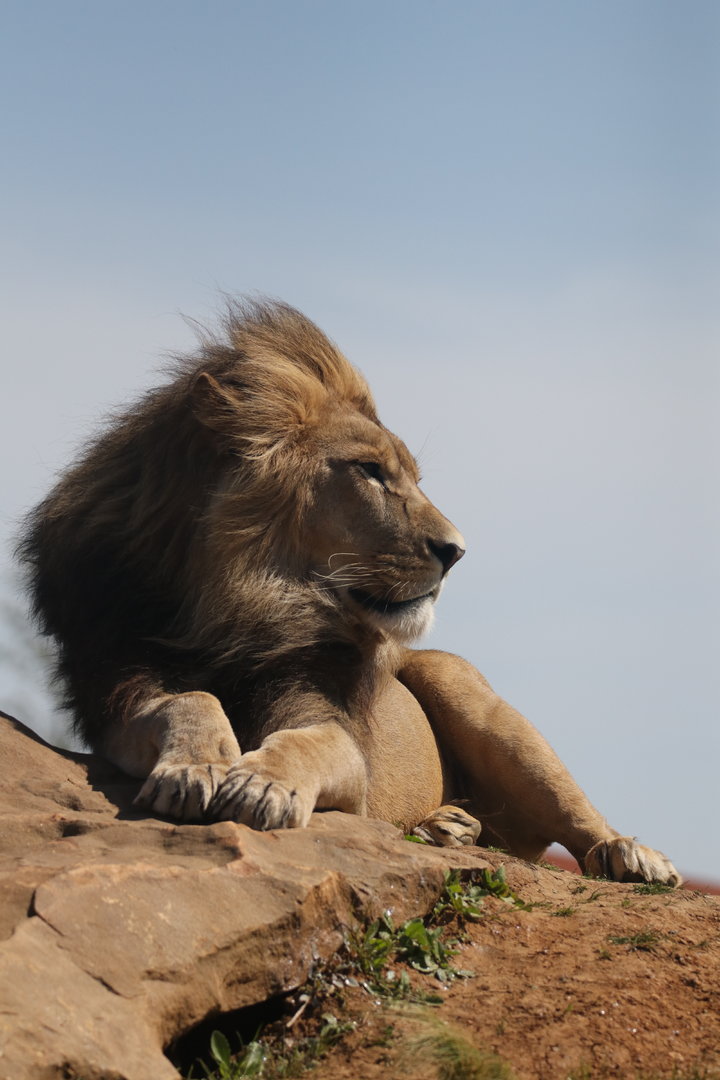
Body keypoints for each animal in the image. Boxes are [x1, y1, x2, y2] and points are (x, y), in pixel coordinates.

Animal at [19, 298, 680, 886]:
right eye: (369, 471)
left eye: (412, 477)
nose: (457, 550)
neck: (239, 607)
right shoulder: (118, 689)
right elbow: (187, 700)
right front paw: (197, 765)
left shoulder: (330, 719)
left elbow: (307, 742)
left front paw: (261, 784)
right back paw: (447, 827)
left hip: (474, 699)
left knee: (575, 818)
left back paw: (630, 855)